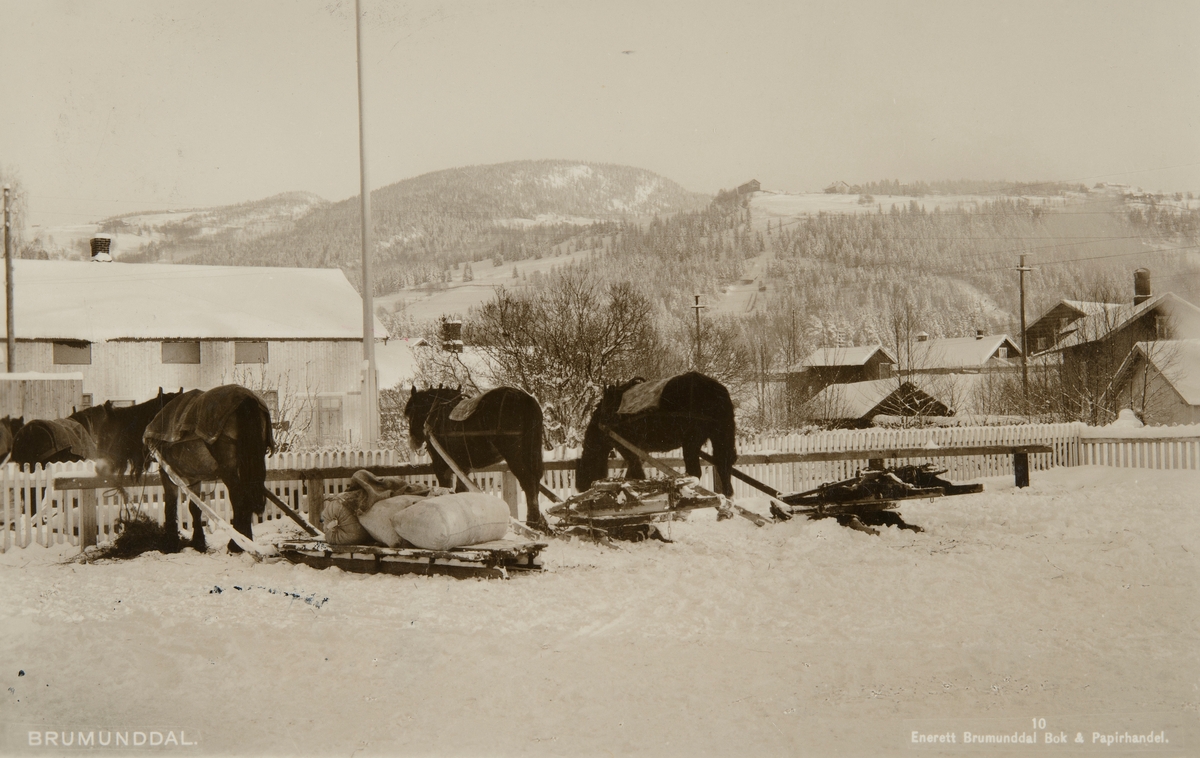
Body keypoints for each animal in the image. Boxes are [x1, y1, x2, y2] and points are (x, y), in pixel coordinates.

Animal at [139, 383, 274, 551]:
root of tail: (245, 398)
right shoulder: (194, 478)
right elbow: (195, 507)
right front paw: (198, 541)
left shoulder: (167, 473)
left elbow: (170, 505)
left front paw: (171, 542)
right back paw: (246, 540)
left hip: (229, 471)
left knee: (239, 499)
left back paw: (236, 544)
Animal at [408, 383, 549, 527]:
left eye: (411, 412)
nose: (414, 441)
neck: (435, 412)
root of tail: (526, 399)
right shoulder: (462, 466)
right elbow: (461, 489)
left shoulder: (440, 464)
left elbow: (446, 487)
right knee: (535, 479)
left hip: (514, 456)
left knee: (528, 481)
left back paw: (532, 521)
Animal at [573, 371, 734, 496]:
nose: (582, 488)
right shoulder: (638, 449)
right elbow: (633, 472)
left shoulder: (625, 446)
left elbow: (636, 472)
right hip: (718, 436)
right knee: (722, 464)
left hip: (692, 441)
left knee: (696, 472)